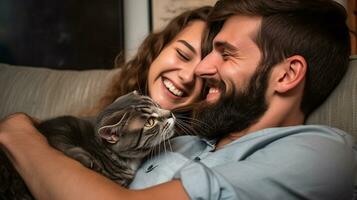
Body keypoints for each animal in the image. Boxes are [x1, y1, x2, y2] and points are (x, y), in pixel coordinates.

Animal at [0, 91, 175, 199]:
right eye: (150, 122)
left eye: (158, 105)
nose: (171, 113)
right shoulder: (59, 127)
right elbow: (61, 142)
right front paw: (87, 158)